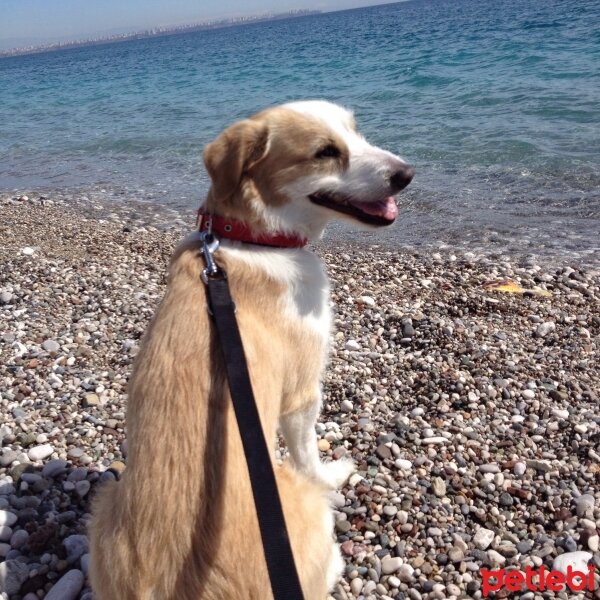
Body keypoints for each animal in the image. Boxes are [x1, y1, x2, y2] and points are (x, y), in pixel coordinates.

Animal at [89, 101, 414, 596]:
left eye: (356, 133)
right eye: (325, 152)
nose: (407, 174)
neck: (250, 238)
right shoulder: (301, 394)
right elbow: (310, 456)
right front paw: (333, 473)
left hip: (105, 503)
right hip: (297, 500)